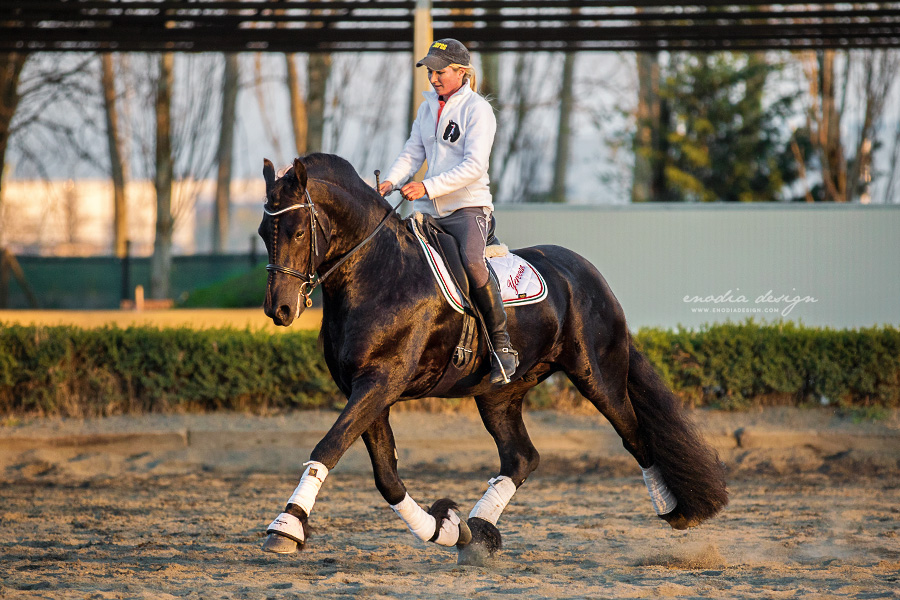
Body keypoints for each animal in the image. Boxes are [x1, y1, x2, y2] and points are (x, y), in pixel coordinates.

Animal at [256, 154, 728, 564]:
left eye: (297, 232)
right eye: (264, 232)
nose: (279, 310)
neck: (379, 273)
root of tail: (586, 273)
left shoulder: (380, 382)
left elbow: (329, 445)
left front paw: (286, 527)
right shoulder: (366, 389)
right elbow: (386, 476)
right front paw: (444, 527)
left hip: (598, 377)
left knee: (635, 436)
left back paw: (673, 509)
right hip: (499, 393)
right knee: (521, 457)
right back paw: (478, 531)